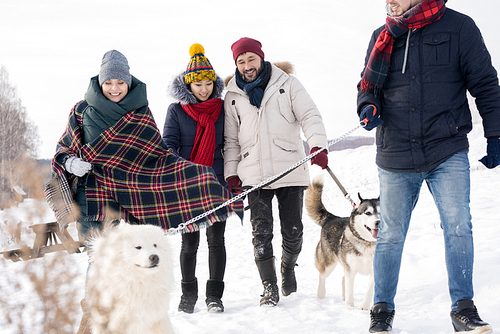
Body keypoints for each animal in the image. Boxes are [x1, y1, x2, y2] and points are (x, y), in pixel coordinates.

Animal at [304, 176, 378, 310]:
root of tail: (331, 218)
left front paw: (363, 307)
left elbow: (369, 291)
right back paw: (321, 294)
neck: (367, 243)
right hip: (328, 263)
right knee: (322, 275)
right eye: (368, 213)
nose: (378, 222)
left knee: (343, 278)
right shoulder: (350, 269)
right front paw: (349, 306)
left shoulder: (375, 269)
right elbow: (349, 289)